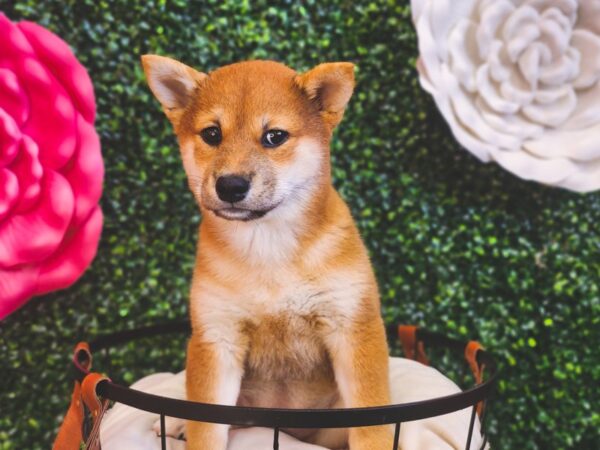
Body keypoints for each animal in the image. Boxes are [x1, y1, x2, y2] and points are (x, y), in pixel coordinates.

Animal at [141, 54, 394, 448]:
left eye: (274, 136)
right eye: (212, 134)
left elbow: (372, 428)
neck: (268, 248)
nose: (230, 185)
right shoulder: (218, 337)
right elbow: (206, 428)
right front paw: (191, 428)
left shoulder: (352, 327)